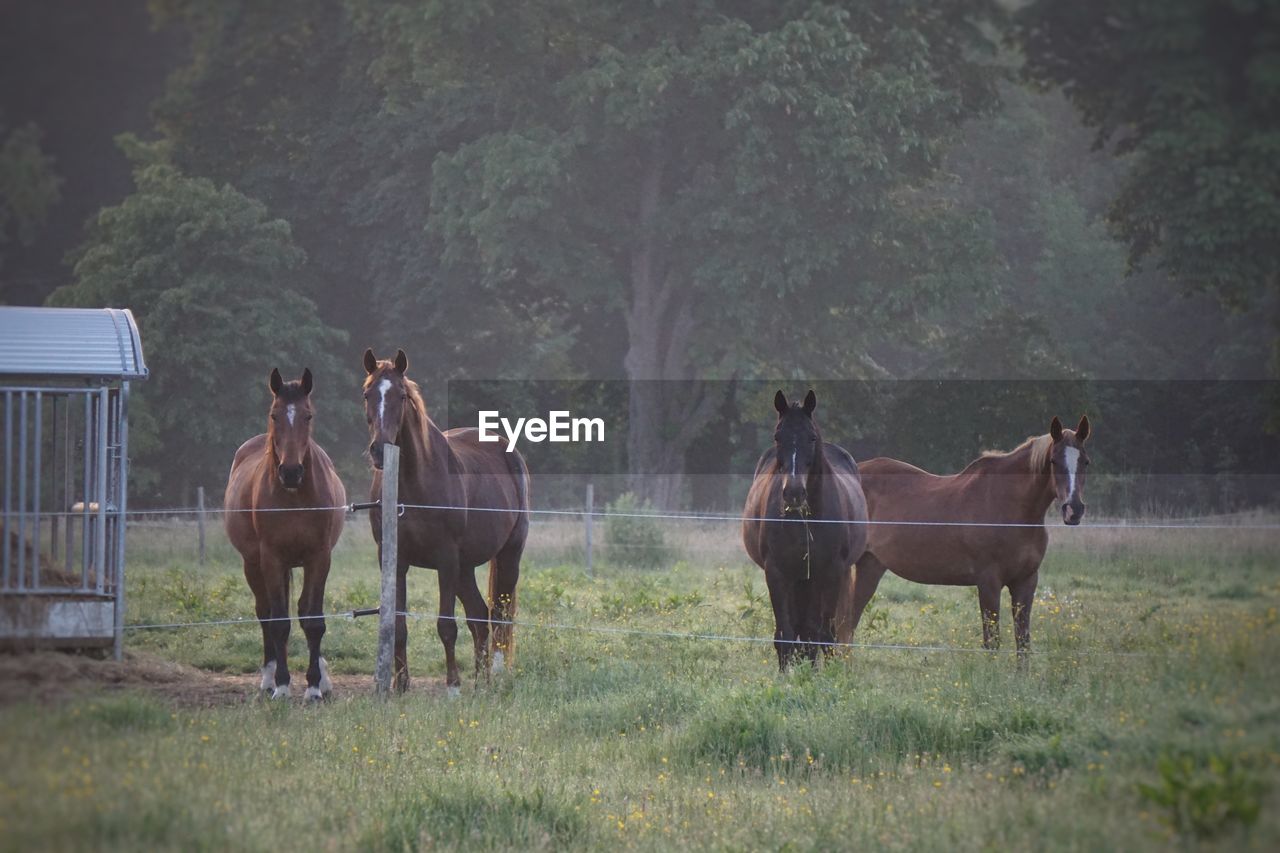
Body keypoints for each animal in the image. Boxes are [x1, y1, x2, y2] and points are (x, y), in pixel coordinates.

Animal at [222, 366, 348, 696]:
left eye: (308, 415)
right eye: (274, 414)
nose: (291, 472)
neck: (295, 497)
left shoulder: (319, 558)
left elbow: (313, 619)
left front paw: (314, 686)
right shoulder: (272, 559)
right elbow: (279, 620)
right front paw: (281, 685)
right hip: (253, 564)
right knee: (265, 611)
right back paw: (268, 677)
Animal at [358, 348, 527, 696]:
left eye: (401, 394)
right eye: (367, 394)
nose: (379, 450)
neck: (412, 485)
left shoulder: (446, 559)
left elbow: (446, 625)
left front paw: (452, 686)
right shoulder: (395, 561)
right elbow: (399, 625)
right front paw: (401, 685)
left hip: (507, 556)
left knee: (499, 617)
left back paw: (495, 676)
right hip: (465, 568)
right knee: (479, 617)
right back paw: (480, 680)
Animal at [742, 389, 870, 666]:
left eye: (811, 437)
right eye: (777, 436)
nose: (793, 493)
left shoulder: (829, 573)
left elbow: (819, 634)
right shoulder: (777, 573)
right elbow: (785, 636)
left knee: (821, 631)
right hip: (799, 581)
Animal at [834, 412, 1095, 655]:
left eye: (1085, 462)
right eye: (1053, 461)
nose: (1074, 509)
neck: (1012, 507)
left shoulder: (1026, 581)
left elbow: (1023, 642)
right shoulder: (988, 582)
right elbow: (992, 642)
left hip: (870, 566)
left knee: (847, 626)